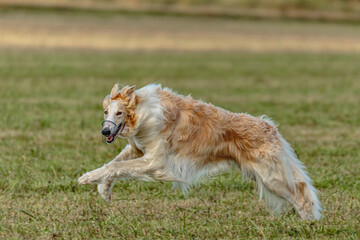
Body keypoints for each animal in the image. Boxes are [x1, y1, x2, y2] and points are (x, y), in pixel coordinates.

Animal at [78, 83, 320, 220]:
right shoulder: (138, 149)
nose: (105, 130)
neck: (142, 111)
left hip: (272, 177)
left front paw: (85, 178)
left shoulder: (154, 162)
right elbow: (113, 164)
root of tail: (270, 127)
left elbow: (118, 166)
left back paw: (309, 220)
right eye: (106, 111)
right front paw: (103, 190)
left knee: (300, 191)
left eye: (119, 113)